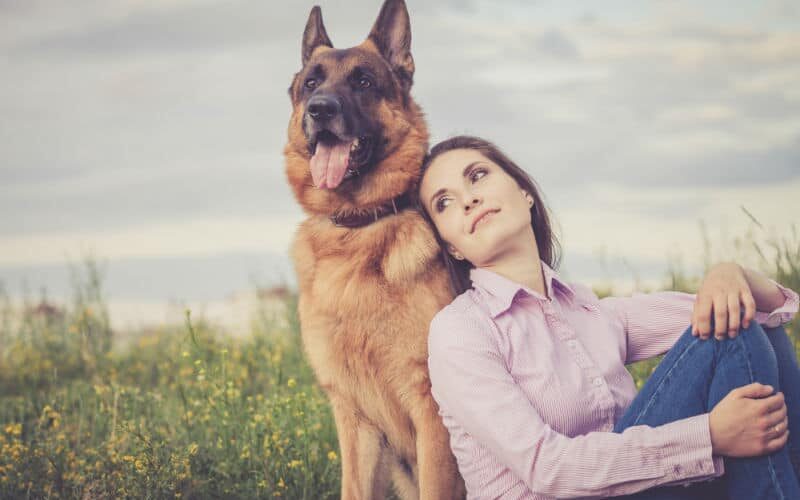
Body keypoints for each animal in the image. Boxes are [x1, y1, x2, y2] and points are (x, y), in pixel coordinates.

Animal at [284, 0, 466, 500]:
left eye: (363, 81)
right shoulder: (354, 419)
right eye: (311, 83)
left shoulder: (432, 414)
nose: (319, 109)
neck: (356, 229)